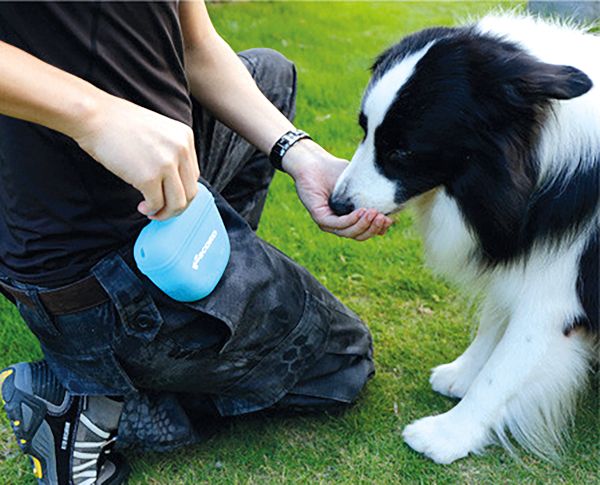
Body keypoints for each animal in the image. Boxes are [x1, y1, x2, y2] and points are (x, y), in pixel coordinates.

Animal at [330, 14, 596, 462]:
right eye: (364, 130)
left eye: (402, 151)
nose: (336, 204)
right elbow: (495, 318)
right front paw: (464, 373)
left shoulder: (556, 290)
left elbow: (507, 366)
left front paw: (449, 434)